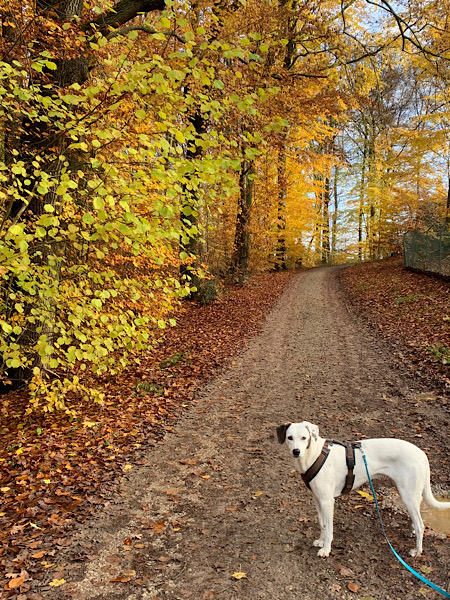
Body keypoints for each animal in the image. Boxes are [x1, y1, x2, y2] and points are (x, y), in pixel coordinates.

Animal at [276, 422, 448, 556]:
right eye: (290, 437)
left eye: (304, 438)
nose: (296, 451)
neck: (314, 455)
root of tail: (422, 454)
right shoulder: (318, 499)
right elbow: (322, 524)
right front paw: (320, 541)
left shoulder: (327, 501)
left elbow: (329, 528)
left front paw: (326, 549)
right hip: (408, 493)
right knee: (417, 518)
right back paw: (411, 531)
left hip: (408, 495)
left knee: (421, 525)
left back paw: (417, 551)